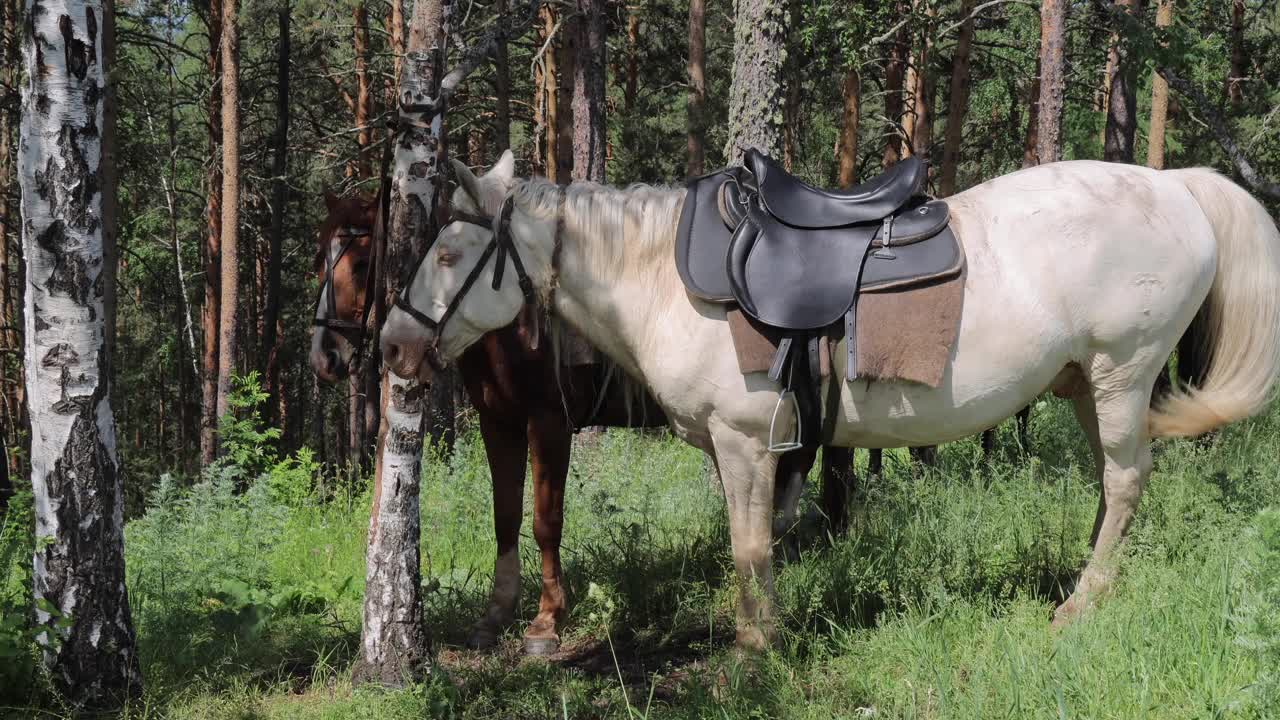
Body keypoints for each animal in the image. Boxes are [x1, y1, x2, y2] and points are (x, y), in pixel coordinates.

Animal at [304, 188, 855, 653]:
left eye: (359, 263)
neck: (510, 328)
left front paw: (547, 620)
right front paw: (496, 613)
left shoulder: (548, 422)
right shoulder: (498, 423)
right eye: (318, 259)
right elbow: (505, 516)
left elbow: (546, 520)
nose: (324, 356)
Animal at [376, 149, 1280, 645]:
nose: (392, 344)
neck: (663, 278)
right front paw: (758, 627)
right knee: (1111, 485)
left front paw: (756, 646)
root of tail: (1176, 185)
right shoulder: (736, 450)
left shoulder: (745, 440)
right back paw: (1089, 579)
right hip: (1089, 385)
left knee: (1125, 481)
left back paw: (1082, 604)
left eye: (450, 254)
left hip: (1124, 372)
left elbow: (749, 545)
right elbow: (752, 542)